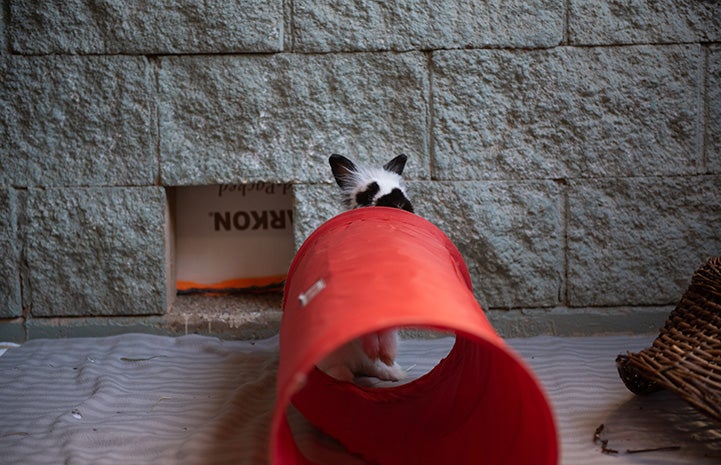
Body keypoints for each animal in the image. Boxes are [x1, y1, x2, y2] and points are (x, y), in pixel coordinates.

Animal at [316, 154, 410, 382]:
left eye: (401, 190)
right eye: (367, 194)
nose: (399, 203)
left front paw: (386, 355)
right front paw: (374, 349)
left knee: (371, 366)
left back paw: (392, 371)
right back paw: (343, 376)